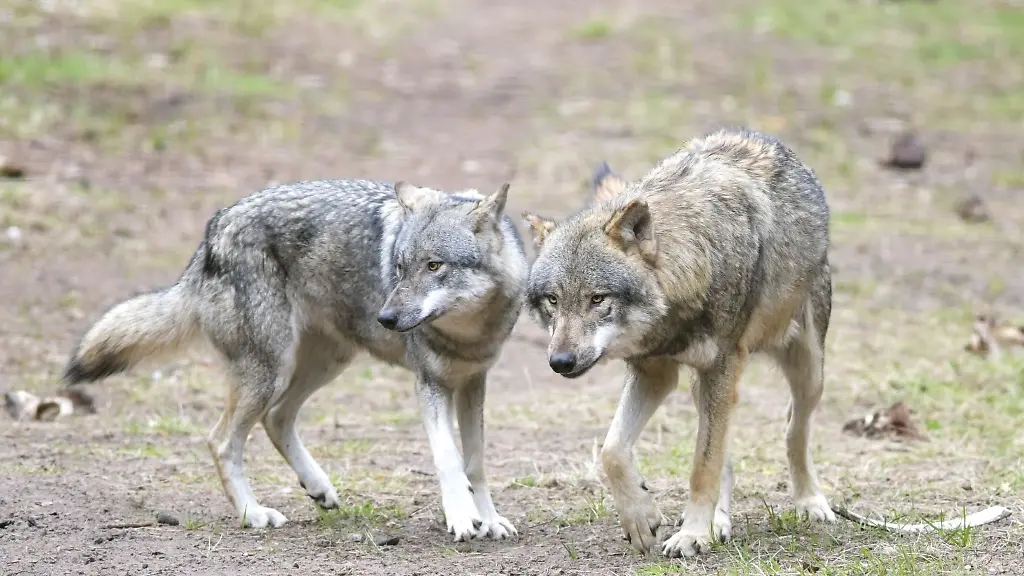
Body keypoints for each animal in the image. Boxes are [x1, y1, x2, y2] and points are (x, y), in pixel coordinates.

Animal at [62, 178, 528, 542]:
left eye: (434, 266)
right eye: (398, 267)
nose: (387, 318)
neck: (469, 332)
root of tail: (213, 232)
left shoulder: (473, 383)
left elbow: (475, 463)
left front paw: (489, 519)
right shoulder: (429, 384)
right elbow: (448, 459)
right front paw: (462, 518)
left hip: (325, 363)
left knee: (276, 418)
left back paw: (317, 487)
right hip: (271, 371)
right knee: (221, 440)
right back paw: (253, 514)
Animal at [522, 127, 836, 558]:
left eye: (597, 299)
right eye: (553, 300)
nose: (561, 362)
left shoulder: (720, 367)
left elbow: (703, 466)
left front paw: (691, 534)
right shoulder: (654, 372)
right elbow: (612, 451)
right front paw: (642, 518)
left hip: (807, 372)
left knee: (793, 430)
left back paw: (810, 502)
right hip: (704, 385)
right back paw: (720, 521)